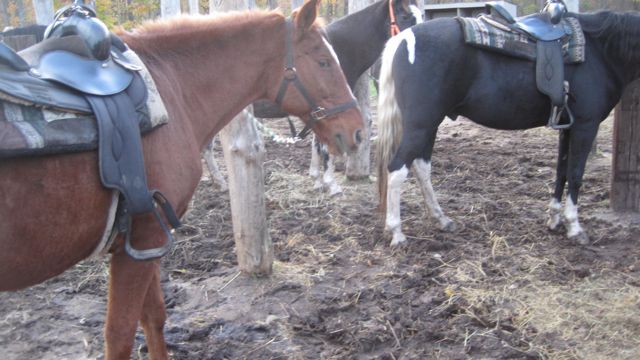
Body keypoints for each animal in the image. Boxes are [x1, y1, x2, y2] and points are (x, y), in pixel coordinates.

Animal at [0, 1, 362, 358]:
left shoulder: (142, 244)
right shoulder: (145, 237)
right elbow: (120, 334)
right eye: (323, 61)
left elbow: (154, 317)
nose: (357, 131)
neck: (169, 89)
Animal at [376, 11, 640, 248]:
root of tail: (404, 38)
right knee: (397, 169)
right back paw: (397, 233)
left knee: (421, 167)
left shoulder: (568, 127)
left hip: (428, 126)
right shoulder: (586, 125)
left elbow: (561, 172)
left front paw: (554, 219)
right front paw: (574, 227)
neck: (600, 51)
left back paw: (441, 219)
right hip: (420, 126)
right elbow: (575, 174)